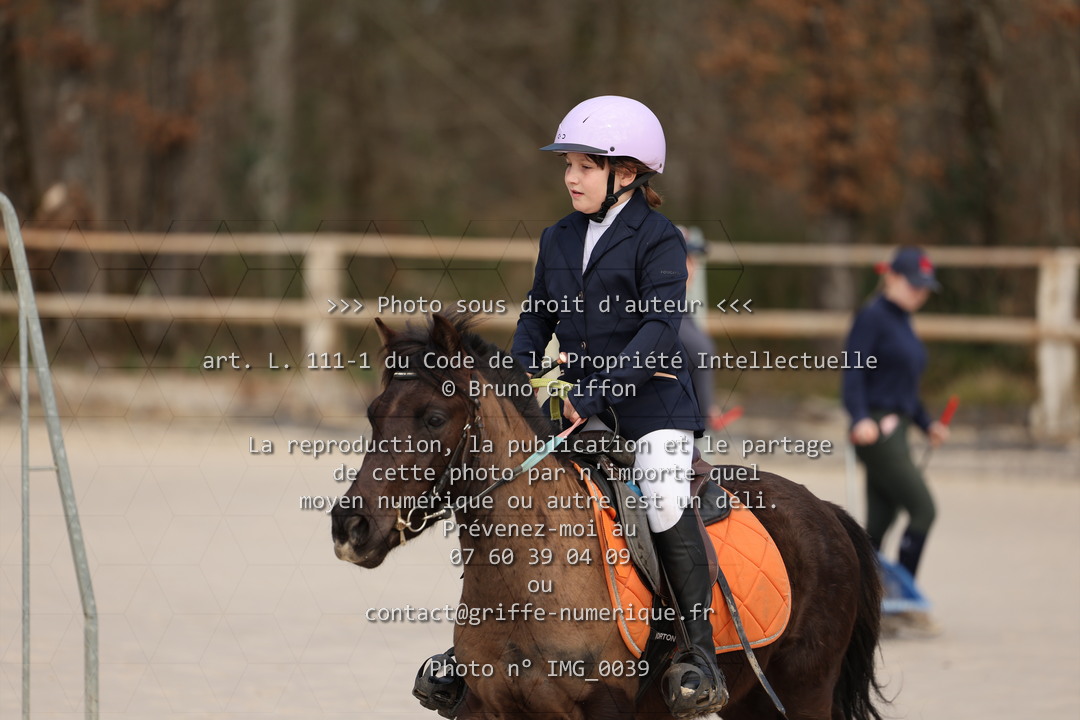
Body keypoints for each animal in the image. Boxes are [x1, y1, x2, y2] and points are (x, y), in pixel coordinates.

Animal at [332, 312, 885, 720]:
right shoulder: (486, 707)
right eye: (373, 415)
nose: (349, 526)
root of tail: (826, 511)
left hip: (803, 692)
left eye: (433, 418)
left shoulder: (606, 707)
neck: (528, 579)